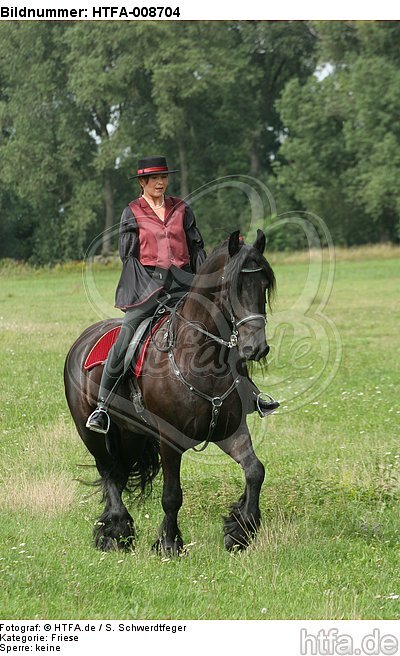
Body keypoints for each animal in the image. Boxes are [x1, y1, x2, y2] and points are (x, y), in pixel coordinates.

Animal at [64, 231, 276, 552]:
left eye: (263, 285)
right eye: (234, 287)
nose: (256, 348)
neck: (200, 359)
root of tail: (83, 340)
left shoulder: (229, 431)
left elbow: (255, 471)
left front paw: (240, 530)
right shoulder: (170, 439)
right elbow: (172, 495)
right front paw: (169, 543)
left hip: (131, 434)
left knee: (118, 473)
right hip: (91, 433)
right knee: (108, 472)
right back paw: (117, 531)